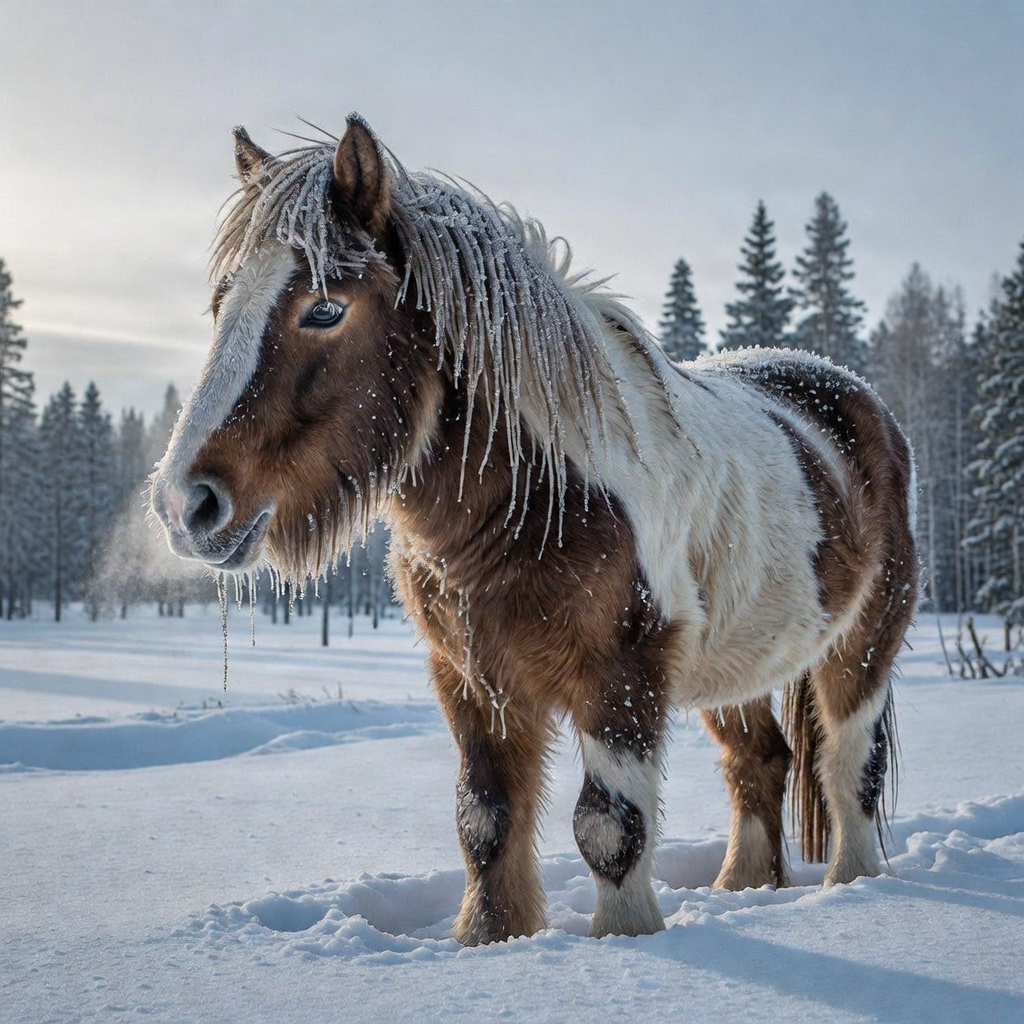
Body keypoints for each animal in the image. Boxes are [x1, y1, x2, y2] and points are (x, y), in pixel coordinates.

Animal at [151, 114, 918, 945]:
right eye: (222, 304)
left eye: (325, 308)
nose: (184, 504)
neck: (538, 500)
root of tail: (857, 397)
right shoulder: (474, 681)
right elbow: (485, 823)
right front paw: (492, 938)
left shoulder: (620, 680)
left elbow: (610, 829)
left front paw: (625, 938)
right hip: (736, 666)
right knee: (761, 765)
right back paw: (743, 887)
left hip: (859, 648)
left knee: (848, 769)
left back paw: (851, 887)